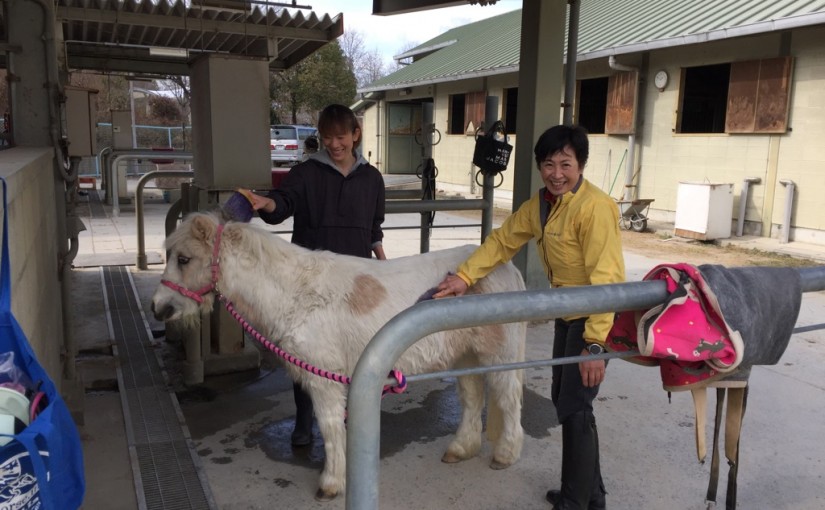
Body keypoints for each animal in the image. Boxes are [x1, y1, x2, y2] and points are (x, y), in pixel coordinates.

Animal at [150, 212, 527, 501]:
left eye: (183, 259)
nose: (158, 308)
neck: (298, 295)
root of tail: (507, 268)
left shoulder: (324, 380)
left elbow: (330, 427)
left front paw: (331, 484)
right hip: (467, 356)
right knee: (471, 398)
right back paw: (461, 449)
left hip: (499, 357)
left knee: (508, 399)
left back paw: (506, 455)